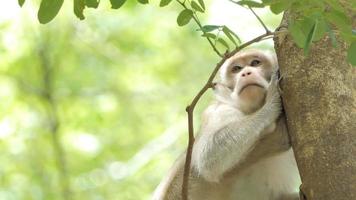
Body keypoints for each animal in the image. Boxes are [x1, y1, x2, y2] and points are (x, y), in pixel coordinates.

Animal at [153, 48, 300, 200]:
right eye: (236, 69)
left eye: (255, 63)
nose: (246, 73)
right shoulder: (218, 112)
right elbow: (209, 157)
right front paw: (272, 102)